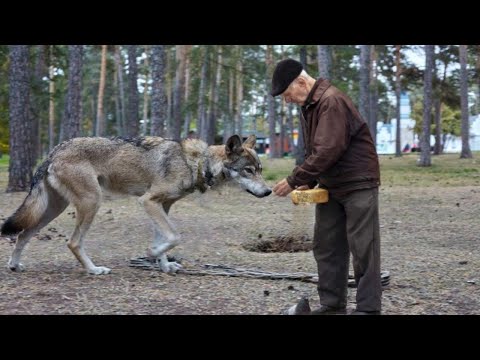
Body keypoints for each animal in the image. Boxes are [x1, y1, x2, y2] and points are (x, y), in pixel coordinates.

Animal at [0, 134, 272, 274]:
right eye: (248, 171)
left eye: (260, 170)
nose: (269, 191)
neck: (197, 163)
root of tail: (53, 151)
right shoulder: (148, 201)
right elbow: (174, 236)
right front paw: (151, 253)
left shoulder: (163, 206)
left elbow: (164, 238)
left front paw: (164, 264)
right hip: (91, 202)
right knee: (73, 242)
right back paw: (94, 270)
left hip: (53, 210)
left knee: (23, 234)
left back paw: (14, 265)